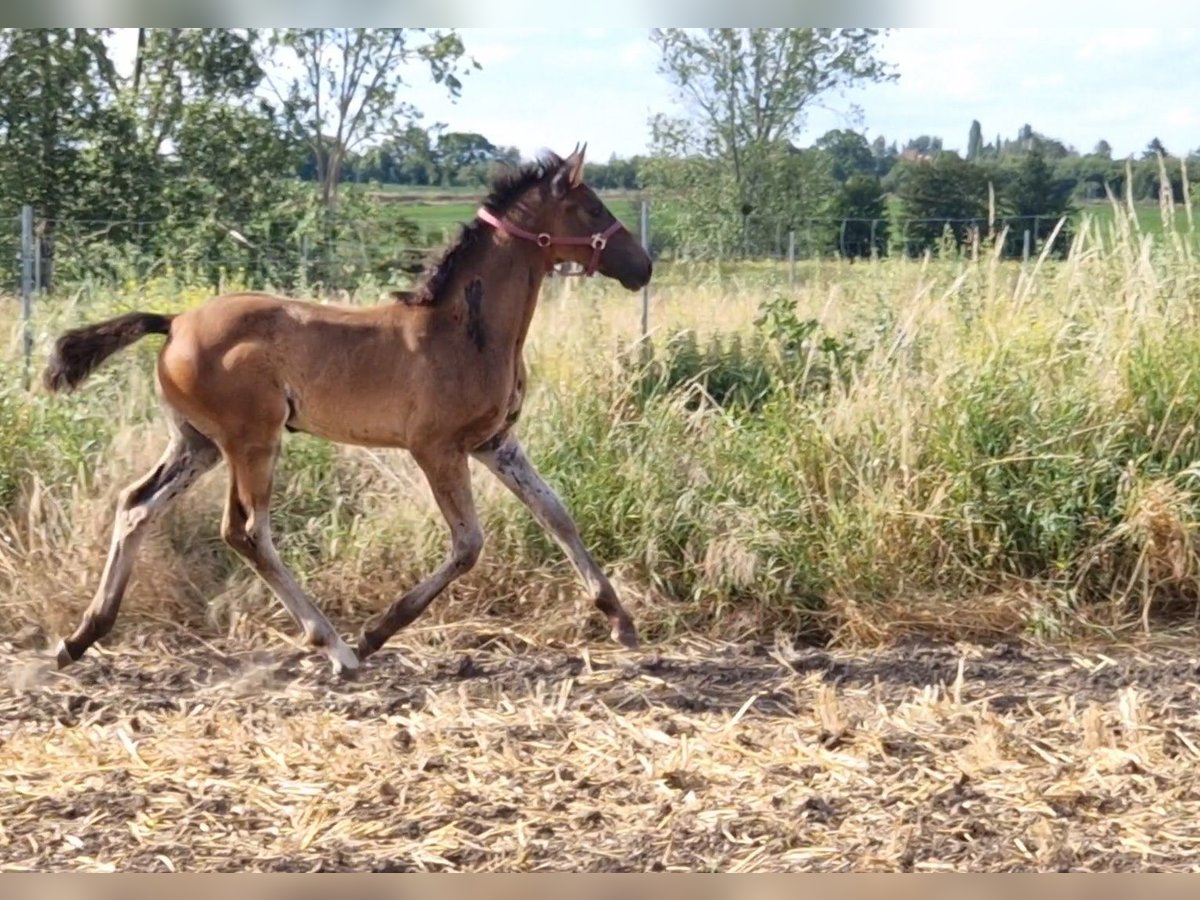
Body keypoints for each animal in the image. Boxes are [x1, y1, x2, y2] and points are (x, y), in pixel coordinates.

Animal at [44, 146, 657, 676]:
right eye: (594, 207)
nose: (643, 266)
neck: (466, 331)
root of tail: (173, 323)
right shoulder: (436, 448)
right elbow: (468, 544)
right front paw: (376, 633)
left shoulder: (495, 442)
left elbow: (556, 513)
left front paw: (621, 622)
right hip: (252, 439)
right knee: (246, 531)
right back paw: (337, 648)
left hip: (198, 443)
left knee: (138, 505)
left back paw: (80, 638)